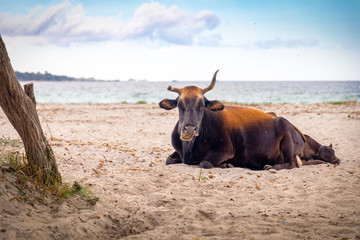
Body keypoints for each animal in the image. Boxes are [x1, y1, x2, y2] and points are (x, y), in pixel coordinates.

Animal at [160, 70, 306, 171]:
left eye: (201, 106)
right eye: (180, 106)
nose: (189, 129)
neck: (189, 148)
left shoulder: (225, 150)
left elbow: (205, 163)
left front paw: (226, 164)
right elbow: (168, 160)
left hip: (287, 138)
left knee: (292, 163)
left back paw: (272, 167)